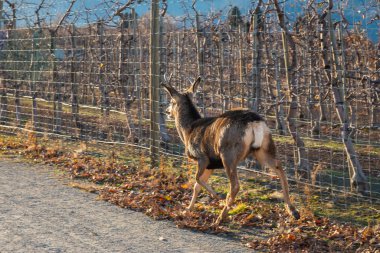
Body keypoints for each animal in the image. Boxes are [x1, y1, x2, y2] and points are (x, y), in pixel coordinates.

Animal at [162, 75, 298, 225]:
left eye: (172, 101)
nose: (167, 111)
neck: (188, 131)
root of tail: (255, 122)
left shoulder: (202, 157)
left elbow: (197, 179)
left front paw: (216, 195)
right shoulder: (211, 164)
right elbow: (196, 186)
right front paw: (188, 209)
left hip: (228, 153)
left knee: (235, 185)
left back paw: (220, 218)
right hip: (265, 147)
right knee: (281, 169)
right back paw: (292, 210)